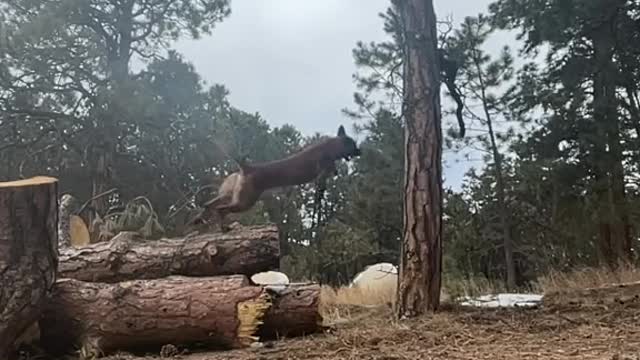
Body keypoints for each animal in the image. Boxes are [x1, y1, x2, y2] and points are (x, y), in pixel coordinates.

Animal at [189, 125, 360, 232]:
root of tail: (247, 168)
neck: (330, 147)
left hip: (230, 195)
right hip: (245, 201)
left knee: (209, 205)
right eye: (353, 145)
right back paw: (223, 227)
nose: (361, 150)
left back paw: (199, 219)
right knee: (220, 210)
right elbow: (327, 177)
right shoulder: (323, 172)